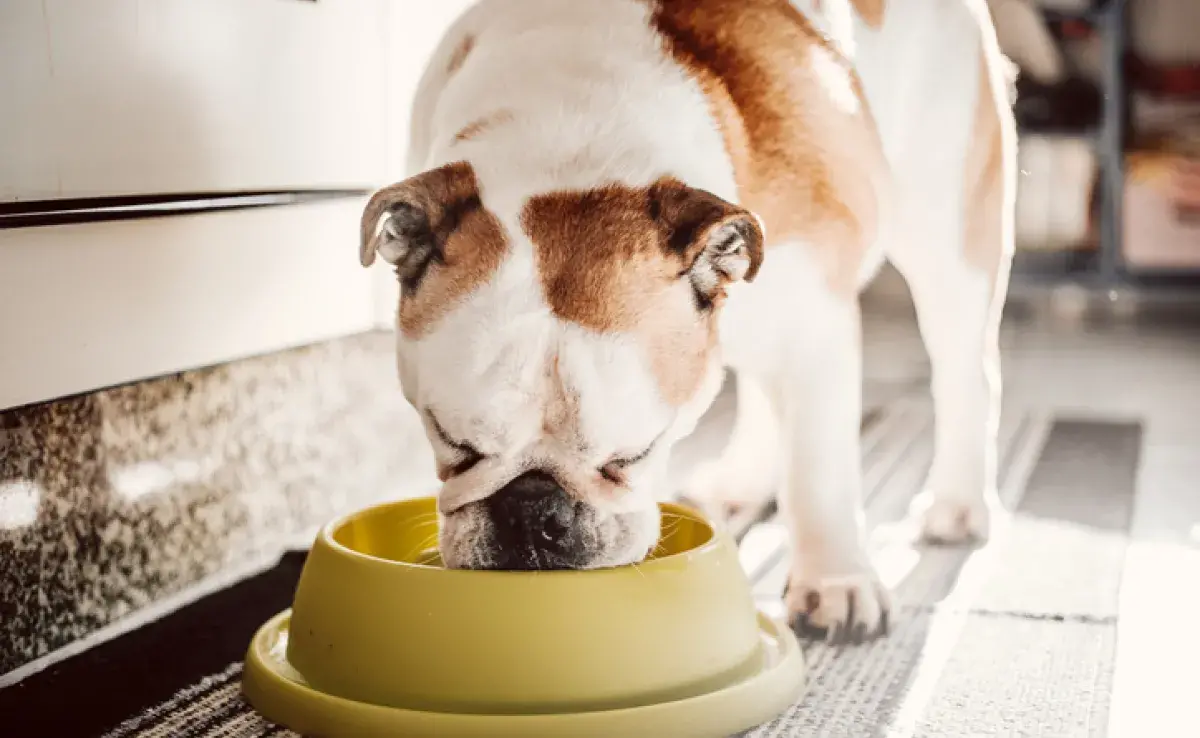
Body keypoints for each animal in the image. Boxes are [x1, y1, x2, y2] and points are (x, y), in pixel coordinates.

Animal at [360, 0, 1017, 643]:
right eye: (453, 443)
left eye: (633, 455)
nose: (533, 514)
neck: (573, 144)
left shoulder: (817, 333)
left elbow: (820, 470)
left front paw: (836, 583)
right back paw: (739, 486)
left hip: (947, 235)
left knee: (964, 370)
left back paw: (958, 507)